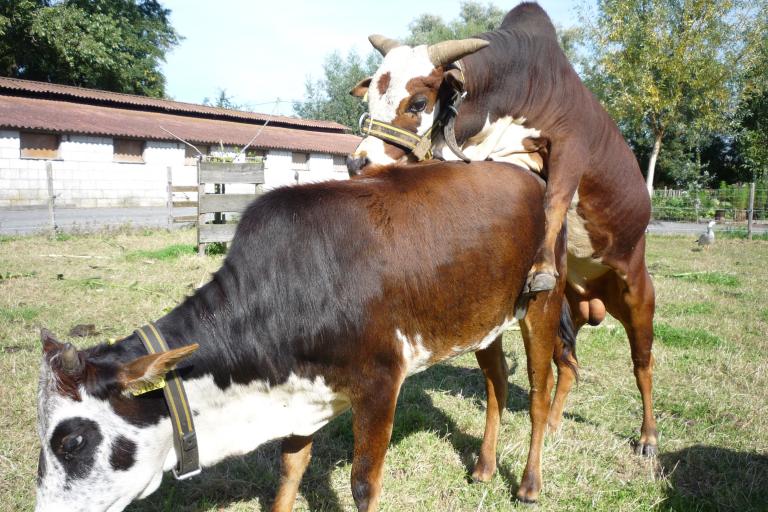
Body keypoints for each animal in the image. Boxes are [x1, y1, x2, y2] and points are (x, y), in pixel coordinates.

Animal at [37, 161, 576, 512]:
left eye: (73, 441)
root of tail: (530, 175)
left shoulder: (380, 384)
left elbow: (363, 486)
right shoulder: (299, 393)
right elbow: (289, 471)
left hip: (542, 303)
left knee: (538, 392)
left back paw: (528, 484)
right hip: (483, 323)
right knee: (496, 383)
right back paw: (483, 466)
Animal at [352, 2, 656, 502]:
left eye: (418, 103)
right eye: (370, 100)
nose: (358, 162)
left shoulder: (570, 146)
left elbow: (555, 200)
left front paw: (540, 264)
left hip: (634, 290)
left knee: (641, 363)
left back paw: (648, 437)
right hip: (567, 311)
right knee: (567, 364)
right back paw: (552, 424)